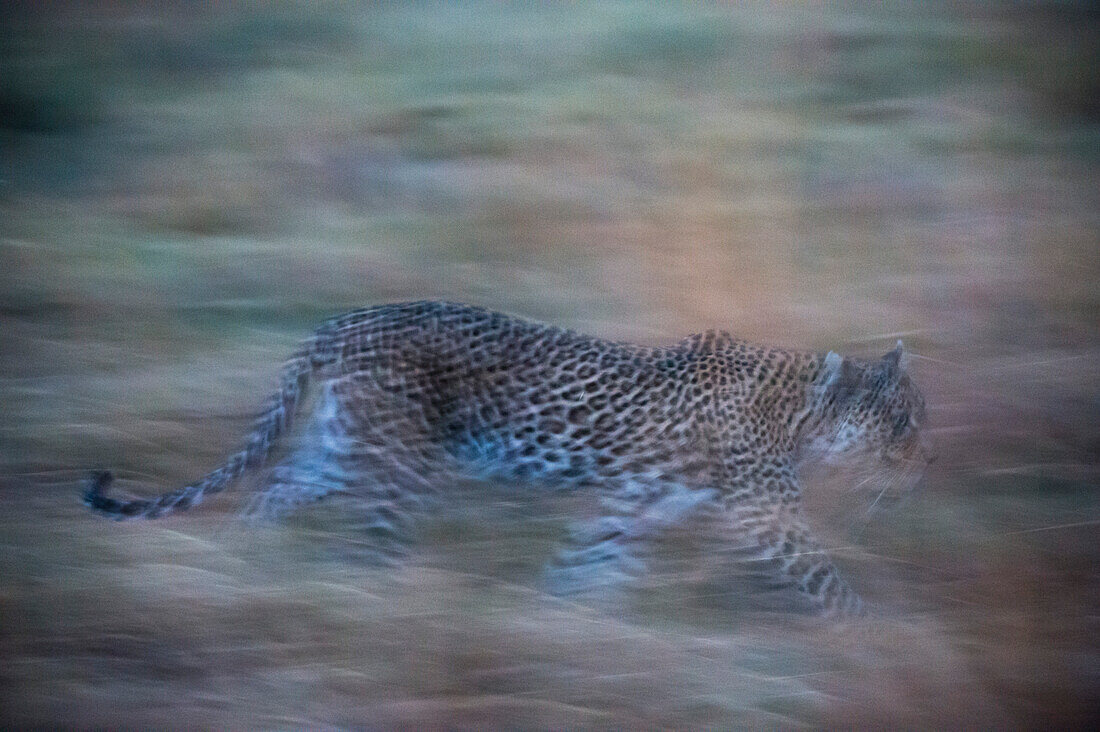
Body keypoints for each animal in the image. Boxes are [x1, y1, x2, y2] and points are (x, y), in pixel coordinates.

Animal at [83, 299, 928, 612]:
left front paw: (565, 621)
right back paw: (371, 606)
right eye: (905, 420)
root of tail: (342, 320)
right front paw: (881, 641)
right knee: (367, 539)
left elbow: (595, 560)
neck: (806, 411)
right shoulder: (765, 517)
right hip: (400, 463)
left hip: (346, 447)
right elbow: (831, 586)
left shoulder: (639, 502)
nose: (921, 464)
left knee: (279, 484)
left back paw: (244, 562)